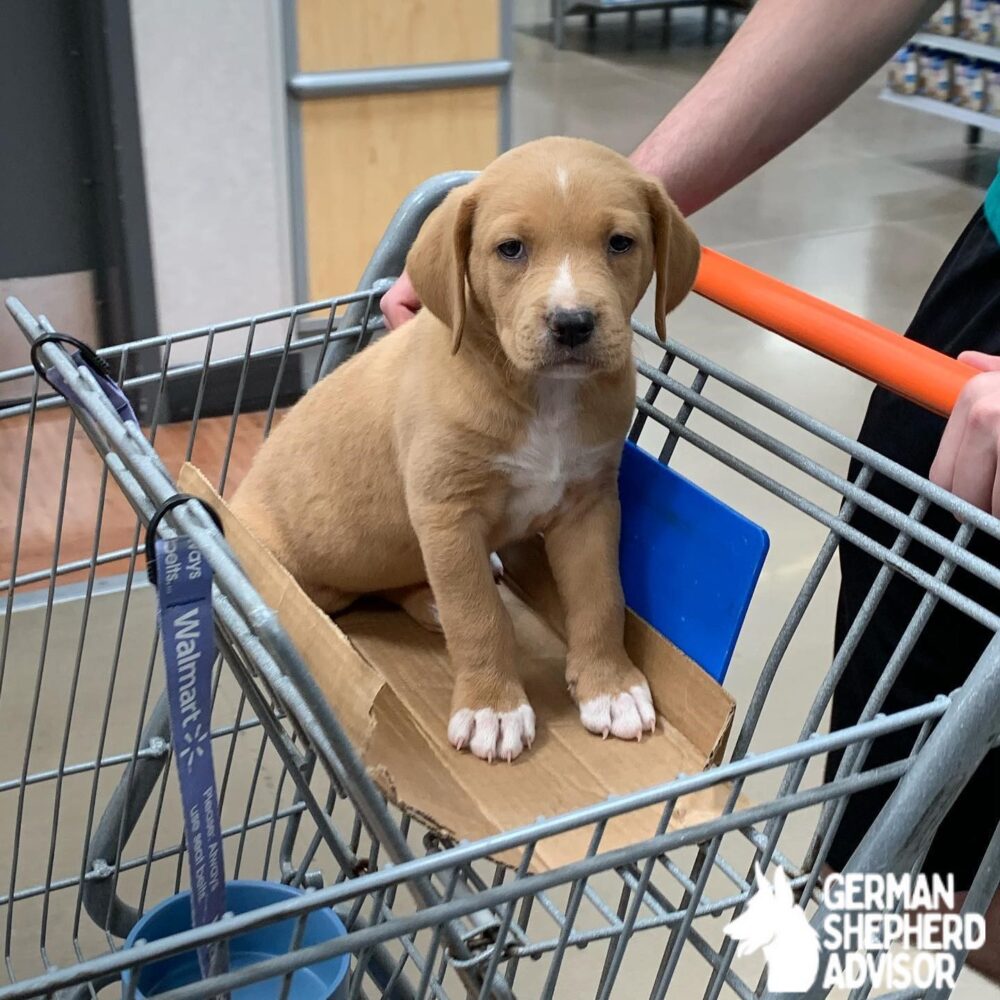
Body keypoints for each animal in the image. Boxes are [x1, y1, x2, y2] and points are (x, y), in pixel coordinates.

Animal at [230, 137, 700, 764]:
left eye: (620, 243)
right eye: (511, 249)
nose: (573, 323)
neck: (544, 396)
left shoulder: (591, 504)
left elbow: (601, 597)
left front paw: (611, 686)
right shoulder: (446, 515)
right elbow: (477, 615)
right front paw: (492, 708)